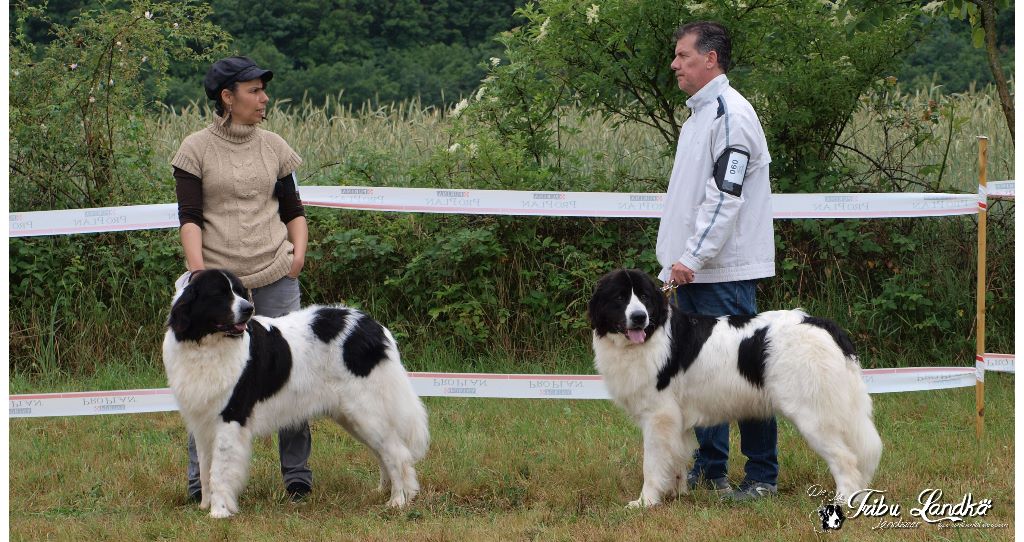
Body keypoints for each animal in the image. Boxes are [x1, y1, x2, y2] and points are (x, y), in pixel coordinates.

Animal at [160, 268, 432, 518]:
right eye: (219, 294)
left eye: (238, 291)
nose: (248, 308)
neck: (206, 345)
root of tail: (371, 325)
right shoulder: (202, 422)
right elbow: (205, 468)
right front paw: (204, 505)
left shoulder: (230, 418)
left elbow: (219, 470)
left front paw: (219, 512)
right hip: (351, 416)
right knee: (383, 450)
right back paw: (383, 491)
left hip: (366, 409)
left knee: (396, 452)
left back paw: (399, 499)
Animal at [589, 268, 884, 508]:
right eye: (619, 298)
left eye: (644, 297)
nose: (639, 317)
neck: (651, 334)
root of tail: (822, 324)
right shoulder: (676, 420)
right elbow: (676, 460)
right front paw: (676, 494)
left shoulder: (658, 416)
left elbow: (651, 464)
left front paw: (645, 502)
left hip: (814, 414)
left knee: (845, 459)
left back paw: (843, 500)